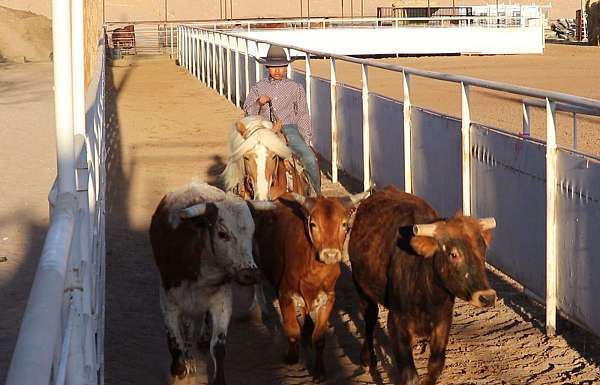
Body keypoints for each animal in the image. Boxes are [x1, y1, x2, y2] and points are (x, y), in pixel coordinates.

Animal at [149, 182, 274, 382]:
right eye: (222, 234)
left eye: (252, 233)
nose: (250, 274)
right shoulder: (168, 302)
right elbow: (175, 341)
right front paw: (180, 368)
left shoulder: (221, 301)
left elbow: (218, 347)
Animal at [252, 190, 366, 380]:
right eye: (313, 224)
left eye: (344, 224)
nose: (330, 254)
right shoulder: (285, 295)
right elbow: (292, 330)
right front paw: (292, 356)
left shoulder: (328, 299)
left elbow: (319, 338)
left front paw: (319, 370)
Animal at [346, 186, 496, 384]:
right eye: (453, 254)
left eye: (483, 251)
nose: (487, 297)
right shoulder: (397, 322)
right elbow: (409, 374)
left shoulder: (443, 321)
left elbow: (436, 364)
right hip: (361, 287)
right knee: (369, 317)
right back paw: (367, 357)